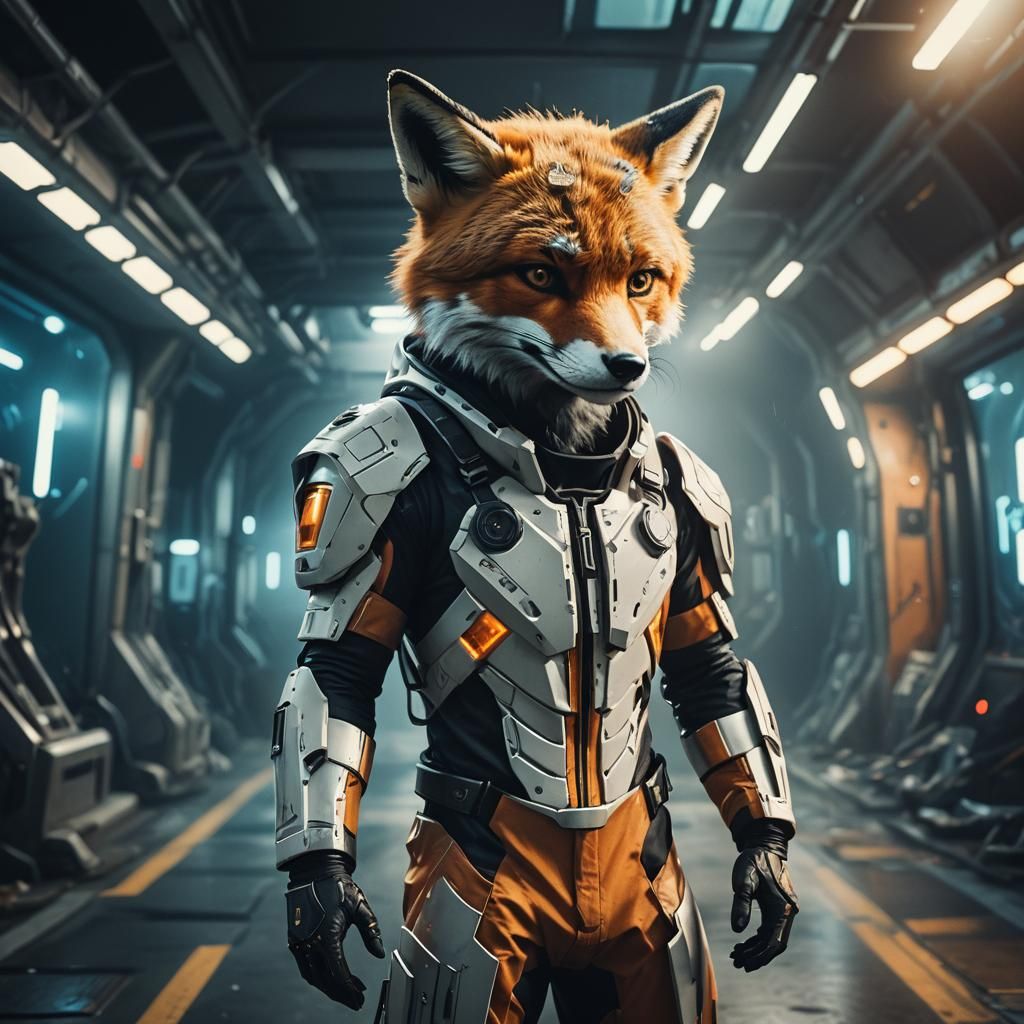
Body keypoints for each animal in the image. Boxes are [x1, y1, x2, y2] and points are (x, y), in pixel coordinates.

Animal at [276, 69, 798, 1024]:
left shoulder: (694, 505)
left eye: (641, 279)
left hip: (653, 928)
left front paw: (768, 866)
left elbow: (713, 671)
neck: (567, 464)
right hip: (465, 937)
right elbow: (335, 674)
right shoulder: (370, 473)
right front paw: (322, 898)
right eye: (541, 272)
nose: (628, 368)